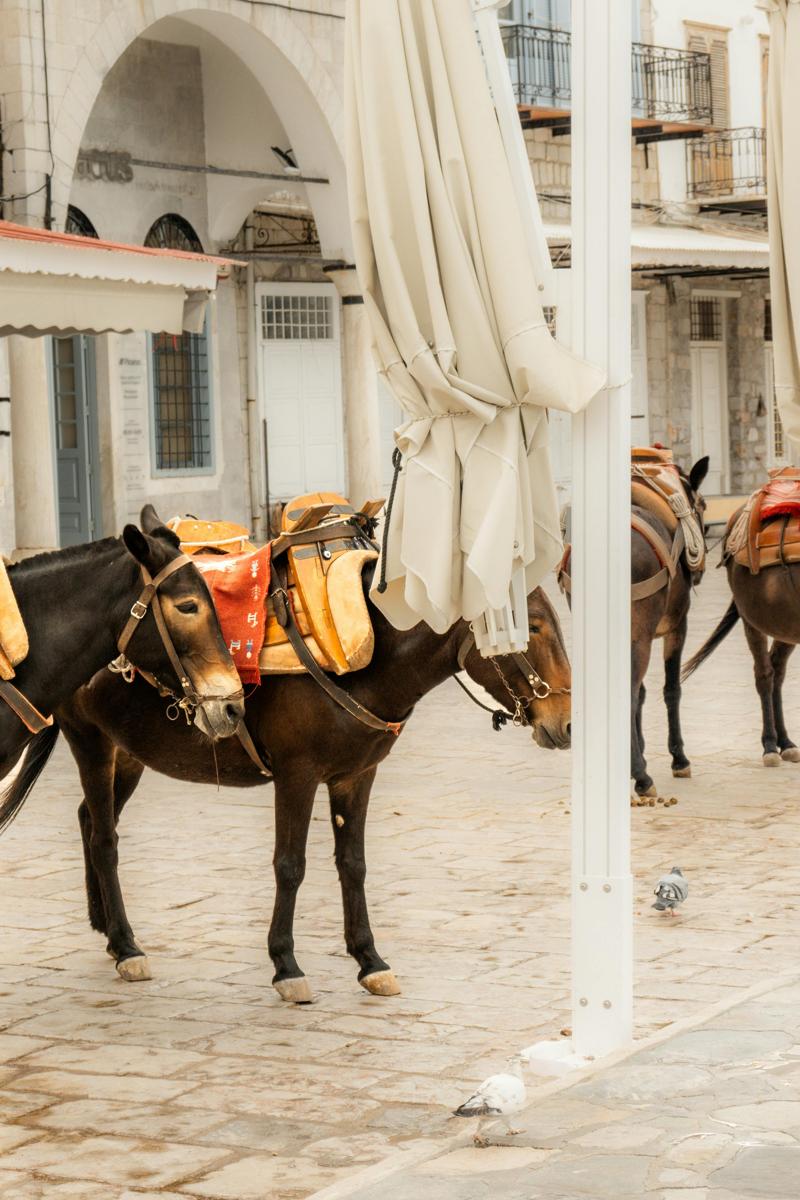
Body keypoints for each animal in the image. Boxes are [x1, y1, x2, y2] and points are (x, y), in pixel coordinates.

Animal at [2, 571, 571, 996]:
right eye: (532, 626)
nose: (565, 723)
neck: (357, 656)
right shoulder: (297, 777)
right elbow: (290, 867)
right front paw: (286, 964)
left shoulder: (356, 775)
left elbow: (353, 865)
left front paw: (369, 959)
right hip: (91, 740)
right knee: (104, 838)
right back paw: (125, 945)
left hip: (130, 751)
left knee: (86, 821)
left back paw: (104, 925)